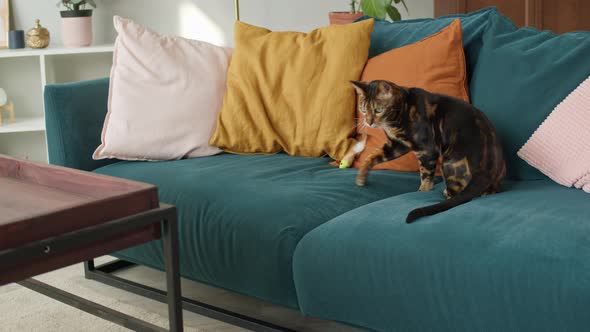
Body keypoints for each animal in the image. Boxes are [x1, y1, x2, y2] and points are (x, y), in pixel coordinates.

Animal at [352, 80, 508, 223]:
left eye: (378, 109)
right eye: (363, 109)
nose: (368, 122)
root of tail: (486, 171)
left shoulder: (426, 150)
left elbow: (425, 176)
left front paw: (422, 192)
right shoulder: (397, 145)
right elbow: (372, 156)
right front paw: (361, 177)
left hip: (449, 163)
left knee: (455, 196)